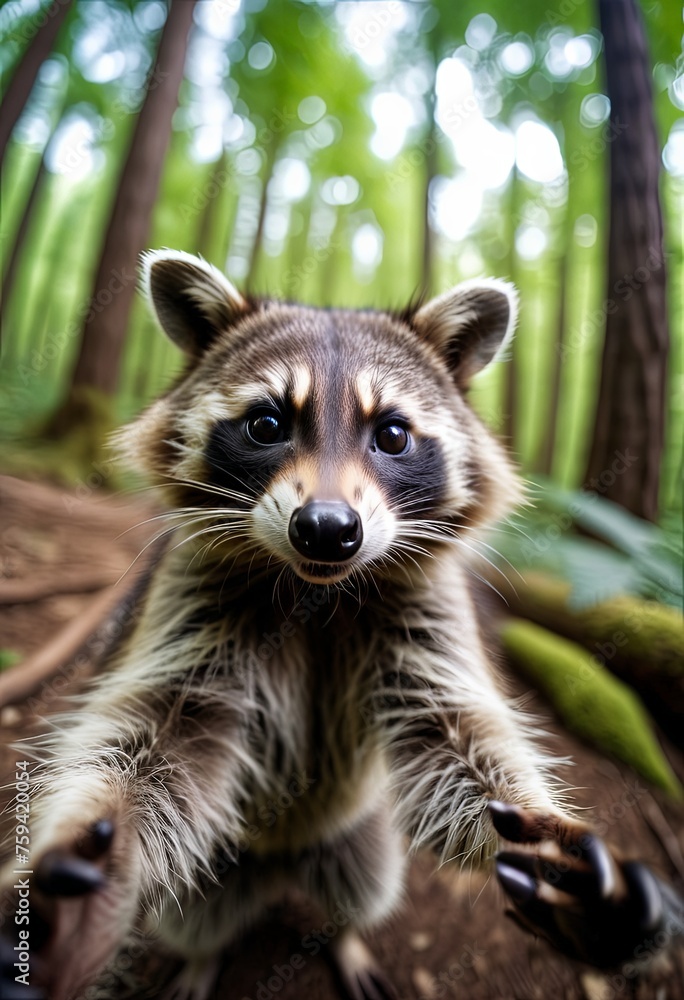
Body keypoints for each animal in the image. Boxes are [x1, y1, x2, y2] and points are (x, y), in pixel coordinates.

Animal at [1, 249, 681, 1000]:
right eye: (267, 425)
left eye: (392, 434)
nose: (327, 529)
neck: (315, 590)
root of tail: (283, 863)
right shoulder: (189, 596)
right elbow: (155, 737)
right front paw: (79, 874)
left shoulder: (427, 609)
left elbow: (454, 737)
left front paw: (543, 834)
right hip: (216, 863)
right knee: (195, 911)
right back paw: (203, 957)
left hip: (361, 837)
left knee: (365, 890)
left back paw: (348, 937)